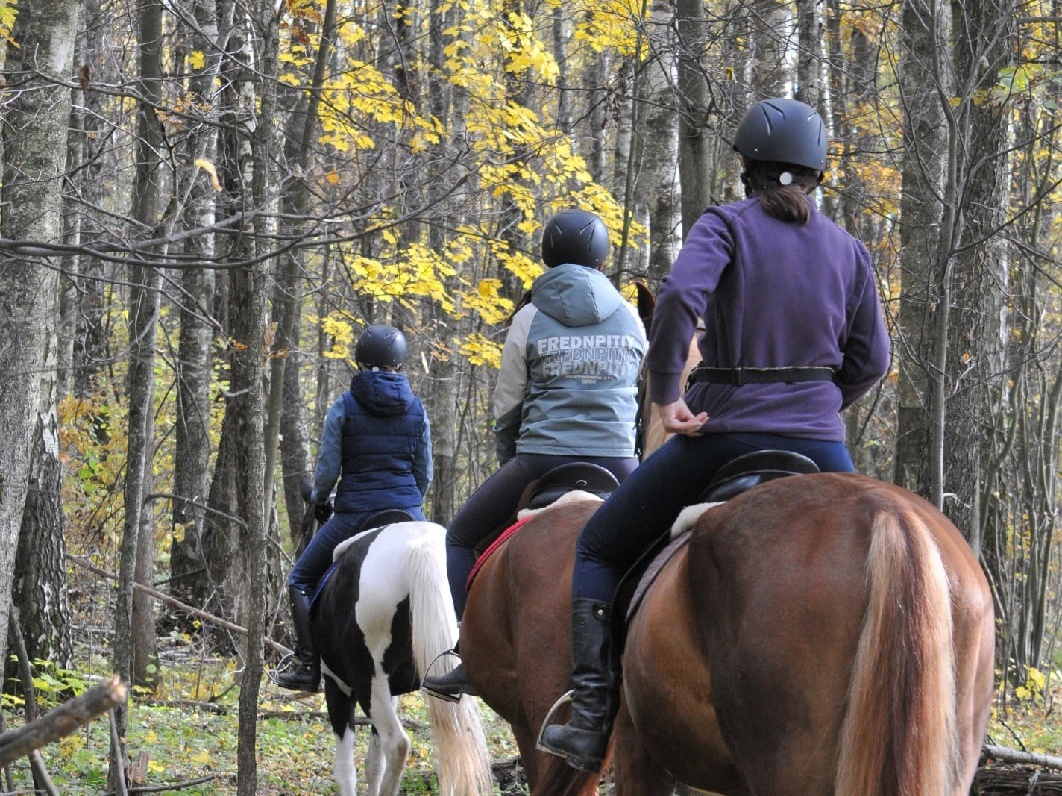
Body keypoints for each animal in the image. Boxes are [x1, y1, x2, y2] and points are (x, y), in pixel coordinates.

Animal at [310, 520, 494, 796]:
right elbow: (374, 764)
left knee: (397, 744)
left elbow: (345, 771)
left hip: (368, 683)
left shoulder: (336, 686)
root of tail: (420, 545)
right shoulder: (390, 692)